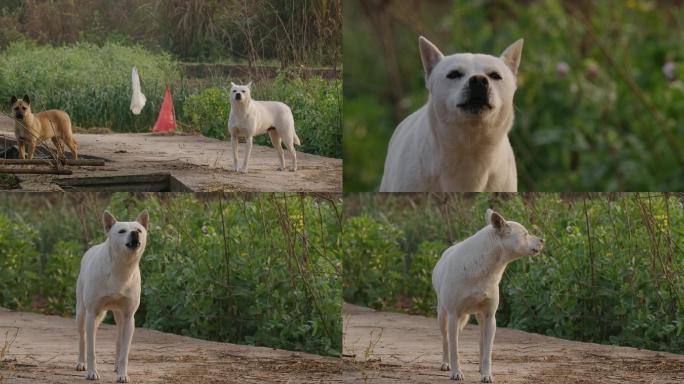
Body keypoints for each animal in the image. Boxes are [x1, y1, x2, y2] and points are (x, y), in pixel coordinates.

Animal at [76, 212, 148, 382]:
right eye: (122, 231)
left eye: (139, 230)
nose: (134, 234)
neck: (121, 269)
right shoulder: (91, 314)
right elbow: (91, 349)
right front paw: (92, 373)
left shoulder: (129, 317)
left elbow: (125, 352)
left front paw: (123, 374)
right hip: (81, 314)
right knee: (83, 338)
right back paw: (81, 363)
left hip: (120, 317)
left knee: (118, 341)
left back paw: (116, 367)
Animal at [432, 208, 544, 382]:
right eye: (525, 234)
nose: (542, 240)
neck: (483, 269)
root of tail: (446, 253)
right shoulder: (453, 316)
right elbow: (454, 350)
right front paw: (456, 373)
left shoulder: (490, 317)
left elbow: (487, 352)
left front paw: (486, 374)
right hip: (443, 317)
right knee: (445, 341)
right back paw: (445, 364)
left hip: (481, 318)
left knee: (481, 342)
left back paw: (479, 368)